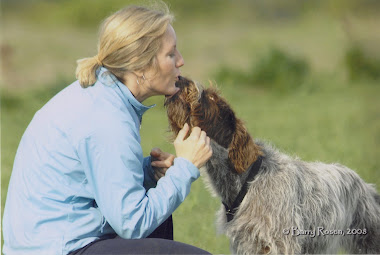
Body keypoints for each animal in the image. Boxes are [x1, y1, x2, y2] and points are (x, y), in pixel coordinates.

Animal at [163, 76, 380, 254]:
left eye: (212, 97)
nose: (180, 78)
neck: (247, 180)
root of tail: (365, 186)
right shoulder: (246, 244)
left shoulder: (278, 243)